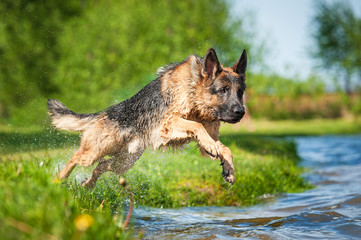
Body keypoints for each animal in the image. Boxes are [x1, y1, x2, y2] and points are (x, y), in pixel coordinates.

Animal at [47, 48, 245, 188]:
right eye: (223, 90)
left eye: (240, 92)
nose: (241, 112)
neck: (194, 91)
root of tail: (104, 113)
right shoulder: (170, 123)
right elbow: (197, 126)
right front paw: (214, 148)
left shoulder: (208, 136)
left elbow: (225, 149)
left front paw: (229, 169)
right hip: (96, 151)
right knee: (75, 158)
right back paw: (59, 179)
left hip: (124, 162)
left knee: (101, 166)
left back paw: (88, 184)